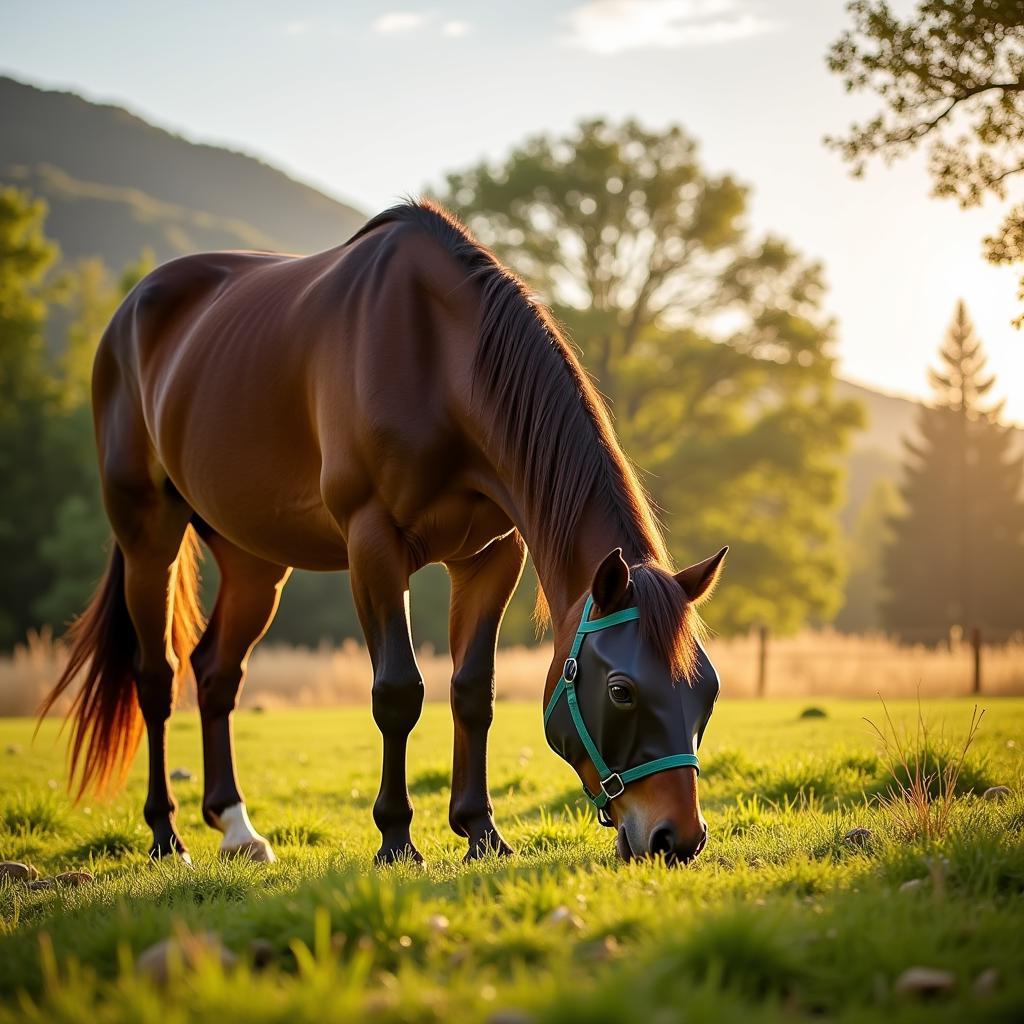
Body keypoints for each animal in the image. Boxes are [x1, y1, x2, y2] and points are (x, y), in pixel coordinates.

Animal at [41, 197, 729, 864]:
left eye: (707, 691)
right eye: (621, 691)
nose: (677, 839)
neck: (439, 359)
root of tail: (131, 310)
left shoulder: (491, 556)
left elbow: (472, 691)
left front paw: (481, 832)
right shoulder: (373, 545)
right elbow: (398, 691)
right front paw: (396, 839)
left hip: (253, 561)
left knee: (216, 673)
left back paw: (237, 829)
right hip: (147, 538)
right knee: (155, 679)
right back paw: (165, 834)